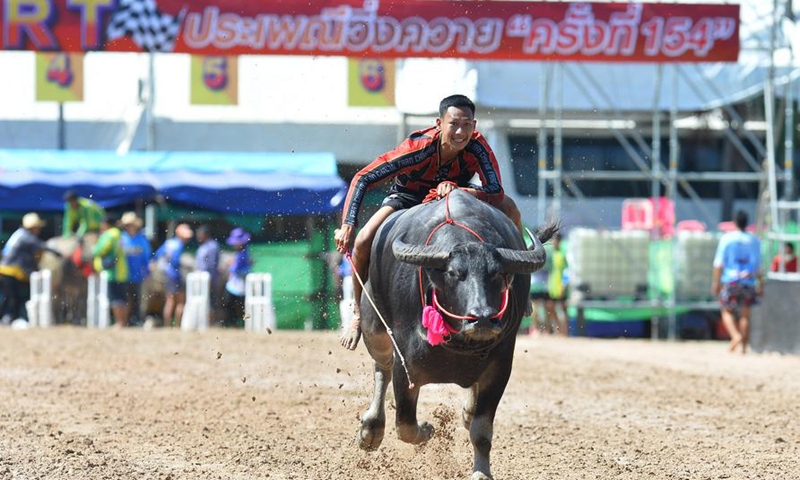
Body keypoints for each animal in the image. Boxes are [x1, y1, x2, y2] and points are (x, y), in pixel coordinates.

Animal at [355, 189, 557, 480]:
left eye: (498, 274)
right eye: (453, 273)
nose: (482, 317)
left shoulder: (499, 367)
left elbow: (481, 431)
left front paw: (481, 471)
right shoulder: (406, 365)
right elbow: (405, 424)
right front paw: (427, 429)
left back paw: (467, 410)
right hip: (374, 325)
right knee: (382, 367)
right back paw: (370, 429)